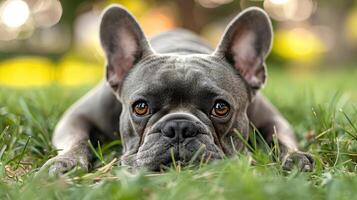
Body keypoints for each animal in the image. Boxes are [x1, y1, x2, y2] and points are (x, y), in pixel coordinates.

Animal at [41, 4, 312, 173]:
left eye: (221, 108)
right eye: (140, 107)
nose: (179, 127)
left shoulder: (272, 118)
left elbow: (280, 137)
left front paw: (295, 157)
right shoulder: (76, 116)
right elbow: (78, 140)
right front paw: (66, 161)